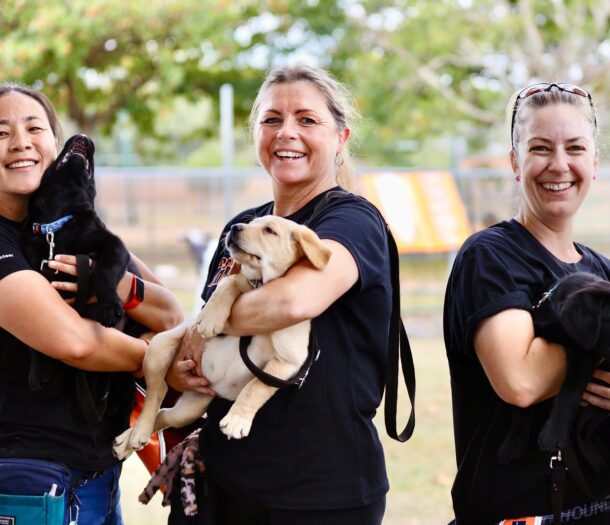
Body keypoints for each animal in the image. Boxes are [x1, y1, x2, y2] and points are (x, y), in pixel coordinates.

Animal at [114, 215, 332, 456]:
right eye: (252, 223)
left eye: (269, 230)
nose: (235, 227)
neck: (262, 284)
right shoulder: (243, 284)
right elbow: (230, 282)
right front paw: (211, 317)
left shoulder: (287, 363)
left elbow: (256, 388)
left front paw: (237, 420)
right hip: (159, 347)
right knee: (156, 394)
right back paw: (136, 433)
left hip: (192, 407)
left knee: (165, 413)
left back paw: (128, 441)